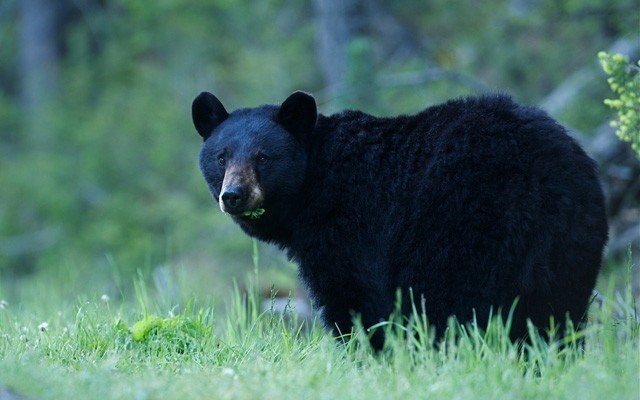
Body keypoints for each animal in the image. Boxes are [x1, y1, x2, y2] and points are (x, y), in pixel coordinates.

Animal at [191, 92, 608, 348]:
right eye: (222, 156)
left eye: (263, 157)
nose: (234, 195)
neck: (315, 183)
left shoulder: (350, 227)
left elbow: (354, 297)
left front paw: (366, 352)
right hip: (570, 246)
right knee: (555, 314)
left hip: (461, 228)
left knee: (451, 303)